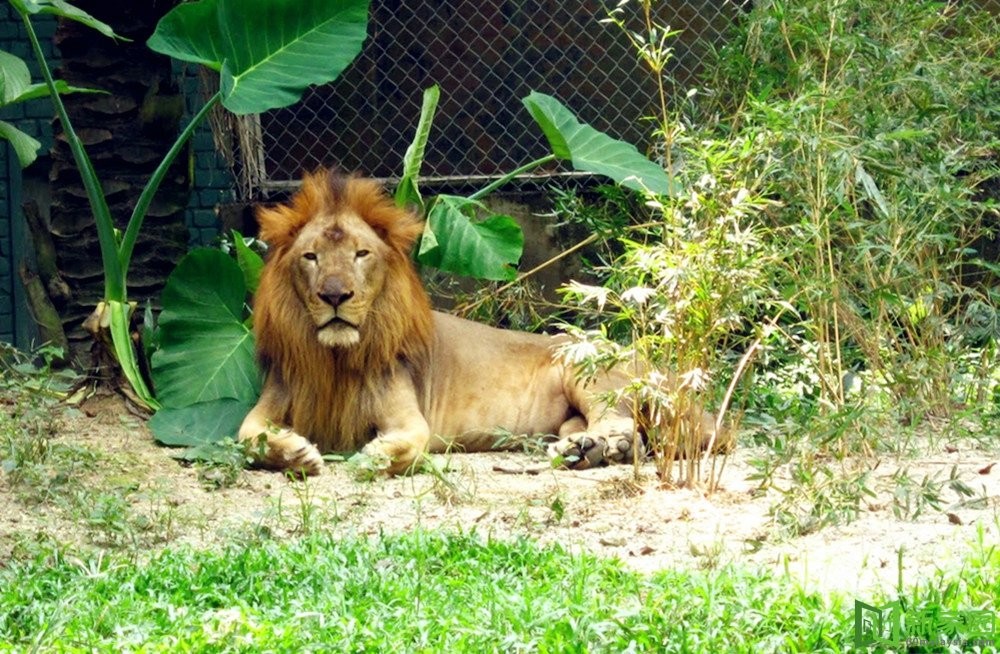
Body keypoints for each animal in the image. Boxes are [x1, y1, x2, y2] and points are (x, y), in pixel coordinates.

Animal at [234, 170, 720, 476]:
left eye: (361, 254)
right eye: (311, 257)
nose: (335, 296)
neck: (335, 359)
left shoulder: (411, 420)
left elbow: (405, 444)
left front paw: (370, 457)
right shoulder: (269, 404)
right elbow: (246, 437)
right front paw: (296, 453)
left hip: (585, 365)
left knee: (619, 418)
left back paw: (594, 448)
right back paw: (592, 450)